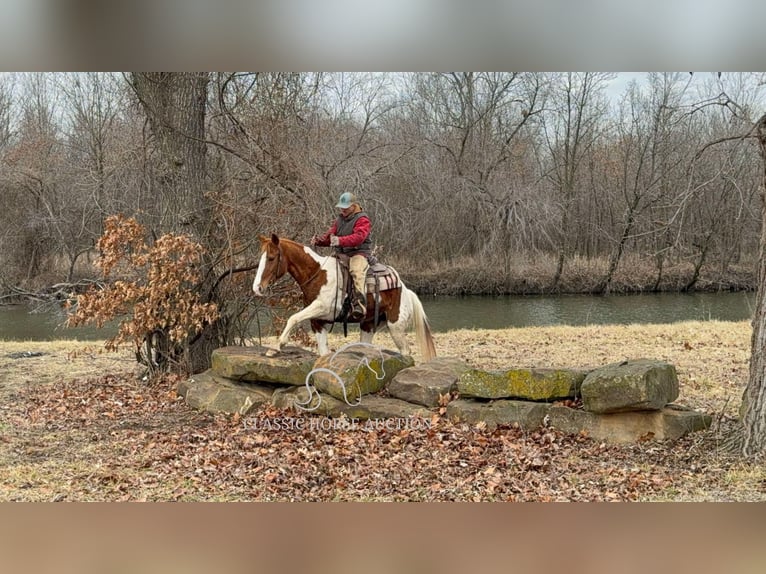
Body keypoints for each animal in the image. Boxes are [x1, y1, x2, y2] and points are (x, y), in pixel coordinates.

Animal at [254, 235, 438, 362]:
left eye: (271, 258)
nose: (257, 288)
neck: (317, 274)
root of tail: (405, 290)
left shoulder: (321, 307)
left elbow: (293, 318)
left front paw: (275, 347)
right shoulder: (318, 321)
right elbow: (323, 352)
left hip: (396, 327)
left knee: (406, 351)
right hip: (368, 326)